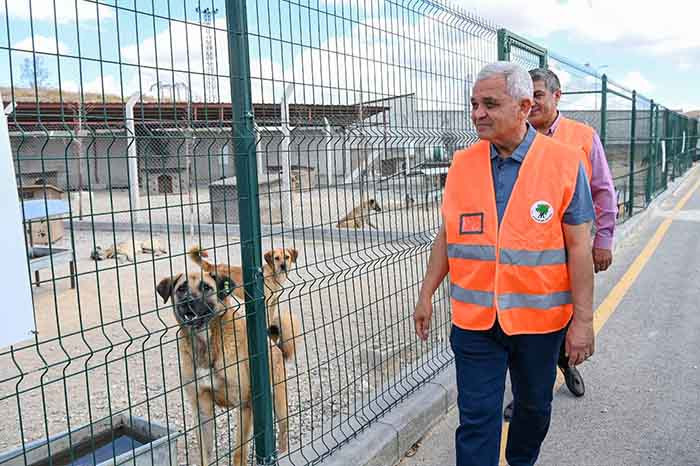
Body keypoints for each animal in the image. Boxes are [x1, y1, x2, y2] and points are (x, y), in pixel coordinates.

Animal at [157, 272, 288, 464]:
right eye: (181, 288)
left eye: (206, 287)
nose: (187, 301)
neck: (206, 345)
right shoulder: (201, 410)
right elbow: (204, 453)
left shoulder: (244, 405)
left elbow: (239, 451)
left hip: (279, 403)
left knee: (283, 433)